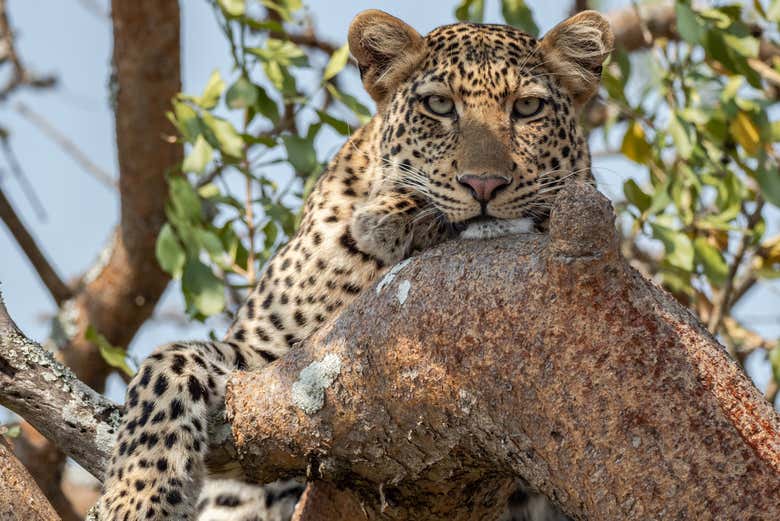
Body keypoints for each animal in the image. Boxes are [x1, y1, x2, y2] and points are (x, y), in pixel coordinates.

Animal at [94, 9, 612, 520]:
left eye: (527, 109)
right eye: (439, 106)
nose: (483, 184)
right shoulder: (262, 359)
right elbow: (167, 364)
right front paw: (134, 497)